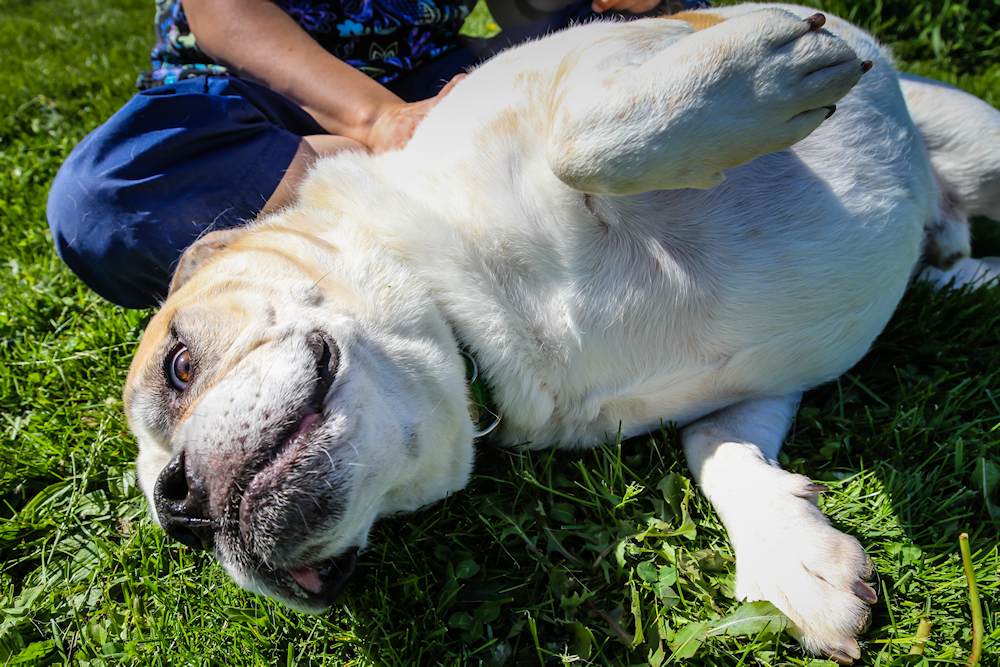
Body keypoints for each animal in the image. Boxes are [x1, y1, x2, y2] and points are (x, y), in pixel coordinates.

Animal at [123, 3, 1000, 664]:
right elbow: (716, 453)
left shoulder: (607, 57)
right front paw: (794, 556)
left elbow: (589, 139)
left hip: (979, 138)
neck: (478, 321)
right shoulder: (747, 393)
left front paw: (767, 74)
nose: (179, 510)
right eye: (174, 530)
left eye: (180, 363)